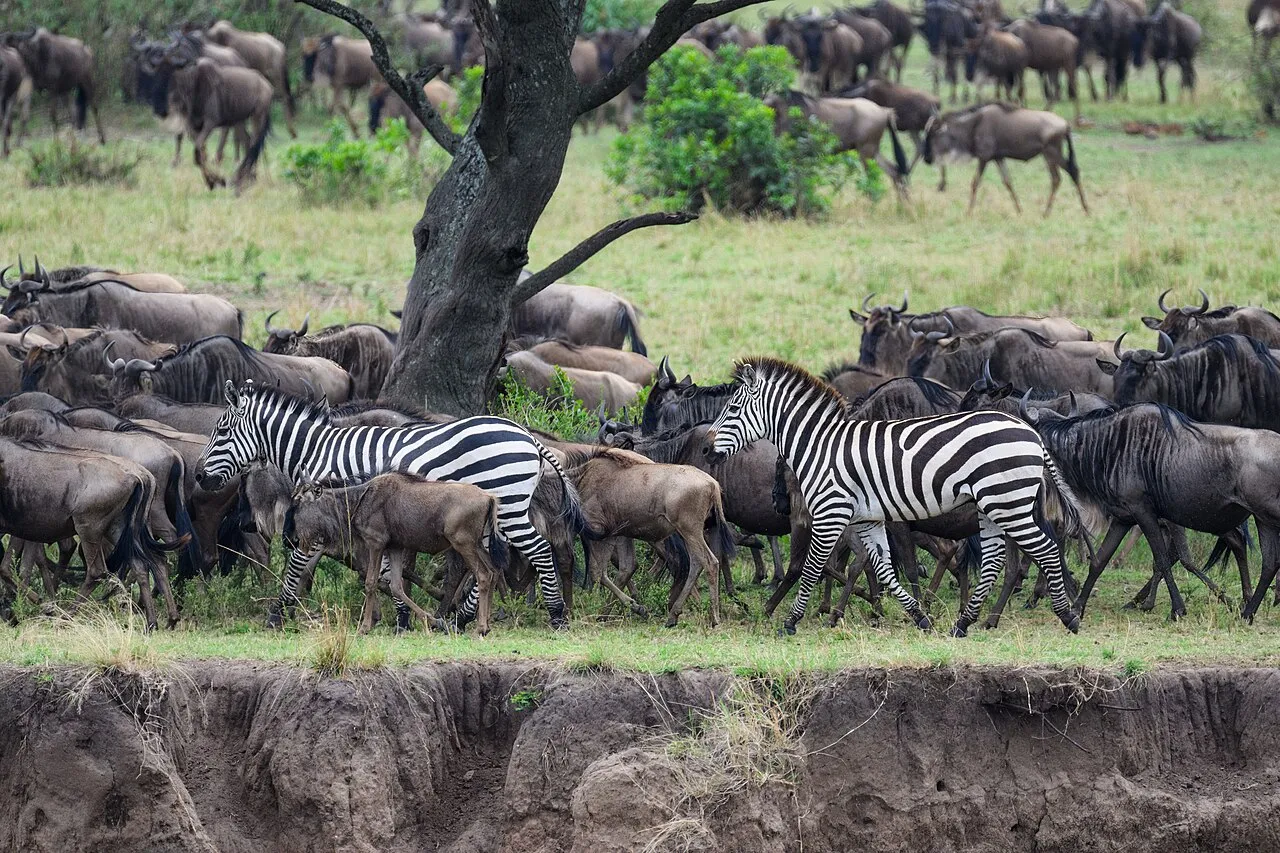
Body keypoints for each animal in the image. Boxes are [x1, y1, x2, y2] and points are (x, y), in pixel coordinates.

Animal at [195, 380, 586, 631]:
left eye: (222, 432)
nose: (199, 476)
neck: (318, 450)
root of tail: (526, 435)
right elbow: (383, 570)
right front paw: (400, 617)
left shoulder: (327, 513)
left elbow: (298, 567)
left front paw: (277, 613)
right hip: (497, 511)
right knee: (495, 562)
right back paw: (461, 617)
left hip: (508, 503)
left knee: (538, 550)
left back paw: (556, 615)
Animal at [705, 357, 1088, 637]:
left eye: (733, 409)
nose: (706, 450)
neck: (822, 447)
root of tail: (1029, 430)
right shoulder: (868, 518)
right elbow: (885, 570)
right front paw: (919, 616)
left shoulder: (831, 514)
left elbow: (812, 567)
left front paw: (790, 621)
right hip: (991, 506)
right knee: (994, 561)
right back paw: (964, 622)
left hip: (1008, 502)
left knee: (1045, 549)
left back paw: (1067, 616)